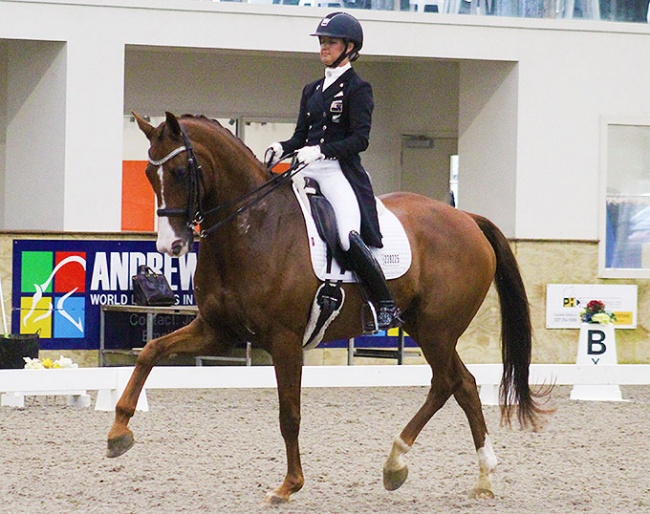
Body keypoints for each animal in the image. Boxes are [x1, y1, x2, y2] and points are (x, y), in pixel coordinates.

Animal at [107, 111, 548, 500]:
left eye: (181, 172)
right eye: (148, 175)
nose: (170, 246)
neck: (253, 227)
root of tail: (467, 218)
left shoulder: (284, 340)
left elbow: (289, 415)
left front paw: (288, 486)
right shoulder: (218, 331)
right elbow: (149, 352)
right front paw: (118, 432)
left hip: (437, 330)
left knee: (448, 383)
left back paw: (407, 463)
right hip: (424, 327)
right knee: (462, 385)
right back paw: (460, 474)